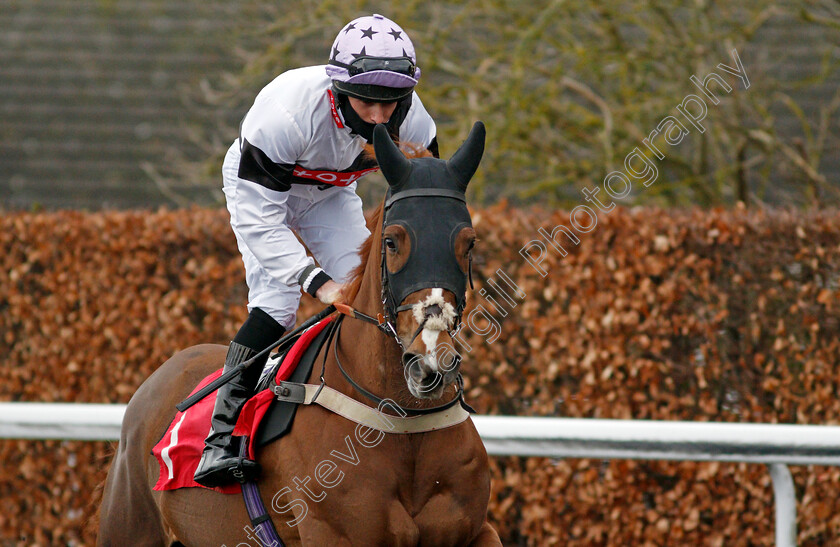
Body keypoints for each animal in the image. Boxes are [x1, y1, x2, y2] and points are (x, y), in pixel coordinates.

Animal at [101, 122, 502, 544]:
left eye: (469, 243)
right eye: (392, 241)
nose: (430, 362)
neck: (403, 422)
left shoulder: (476, 531)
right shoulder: (336, 533)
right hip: (129, 525)